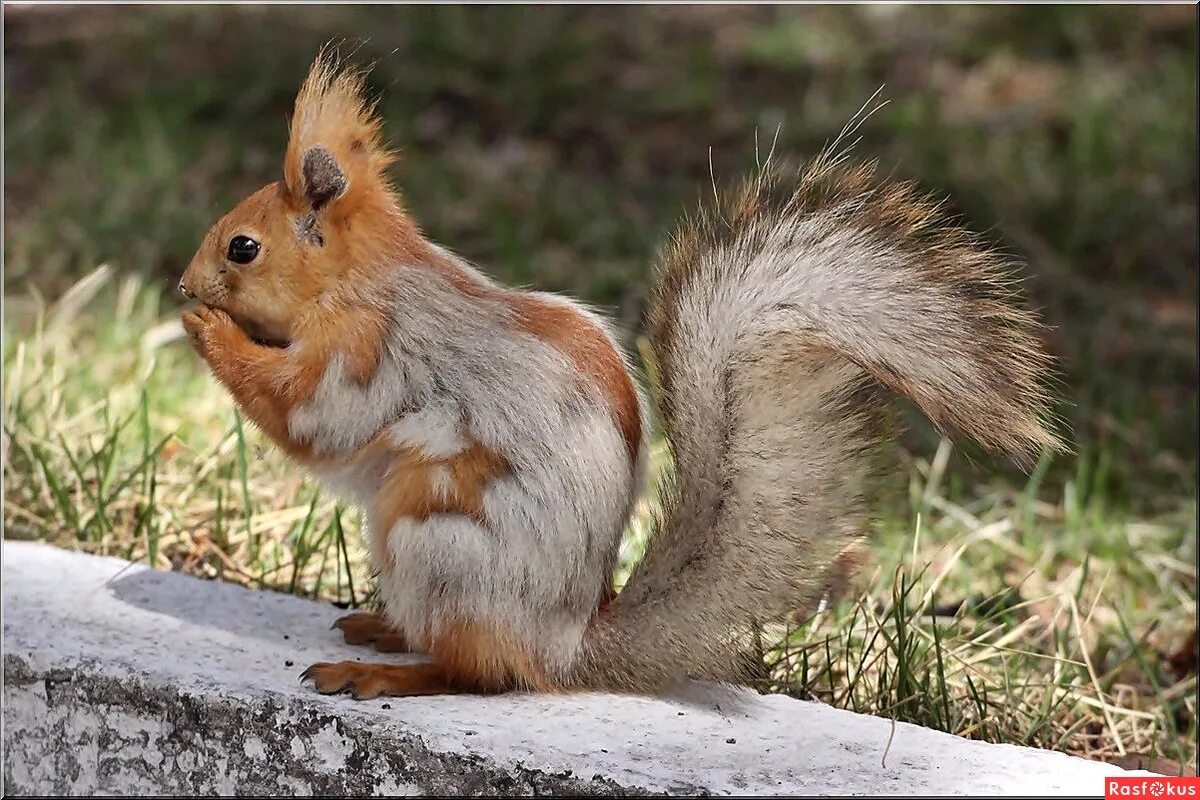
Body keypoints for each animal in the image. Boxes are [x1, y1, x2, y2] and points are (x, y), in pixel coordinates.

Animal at [175, 53, 1060, 695]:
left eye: (243, 248)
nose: (185, 286)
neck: (368, 281)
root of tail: (564, 643)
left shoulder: (366, 354)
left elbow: (309, 417)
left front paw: (209, 330)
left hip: (438, 543)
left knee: (483, 674)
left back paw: (385, 670)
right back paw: (385, 629)